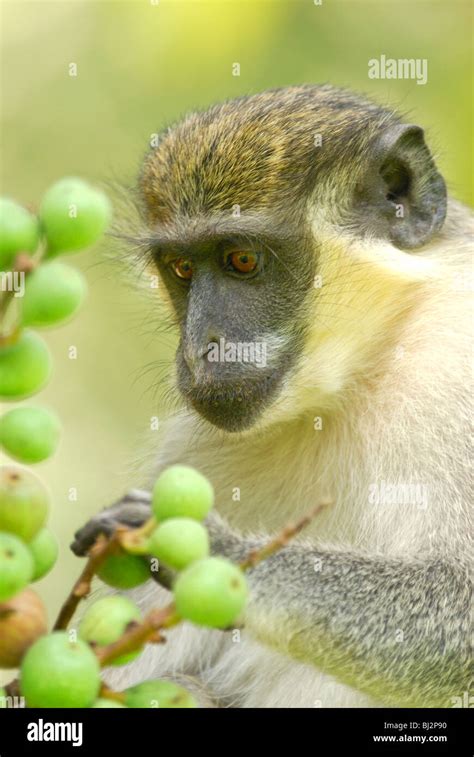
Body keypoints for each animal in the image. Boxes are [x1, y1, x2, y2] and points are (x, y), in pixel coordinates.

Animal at [72, 84, 472, 708]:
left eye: (242, 260)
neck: (364, 367)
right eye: (182, 269)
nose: (201, 348)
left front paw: (212, 554)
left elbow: (459, 610)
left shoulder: (457, 354)